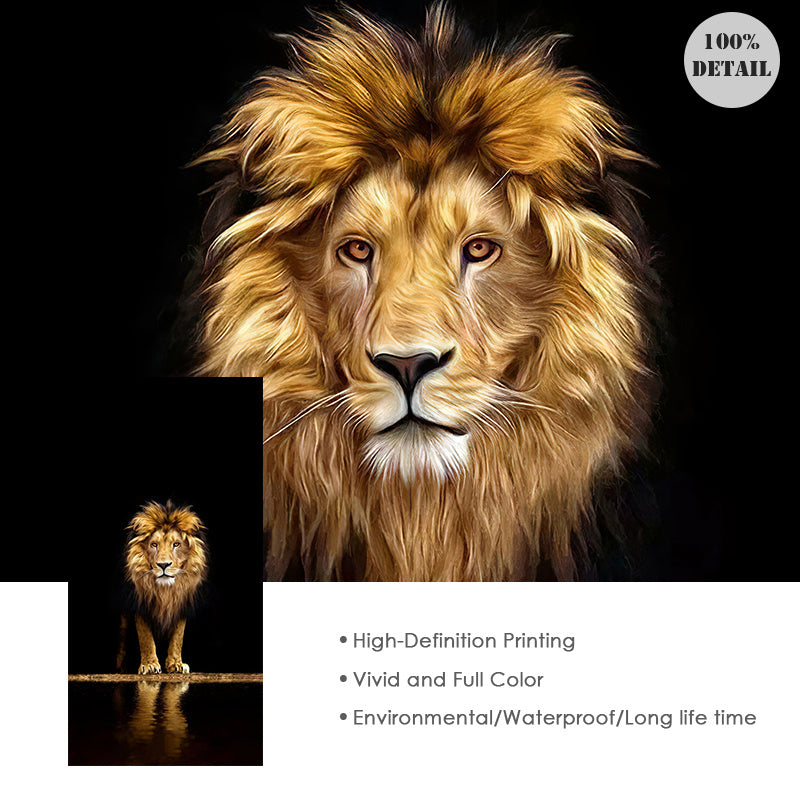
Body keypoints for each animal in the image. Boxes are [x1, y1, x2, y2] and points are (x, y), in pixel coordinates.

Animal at [124, 501, 208, 673]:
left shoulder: (181, 603)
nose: (163, 565)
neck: (165, 590)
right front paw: (149, 665)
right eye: (154, 544)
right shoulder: (140, 604)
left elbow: (178, 636)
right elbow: (145, 636)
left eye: (176, 544)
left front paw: (176, 664)